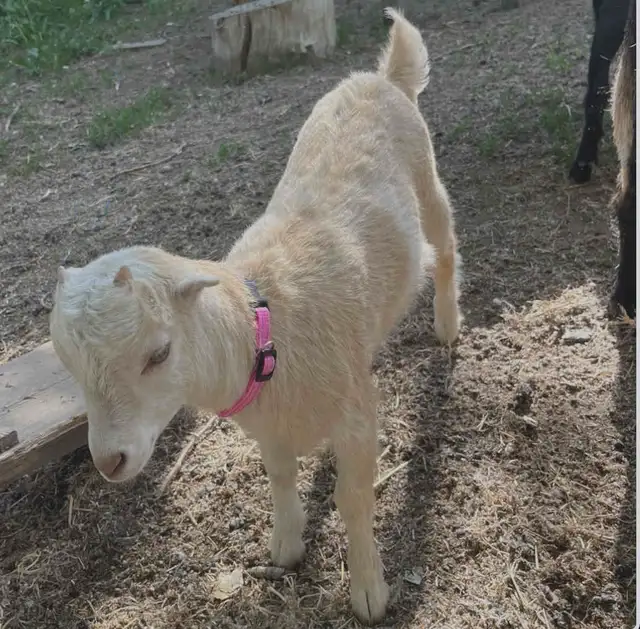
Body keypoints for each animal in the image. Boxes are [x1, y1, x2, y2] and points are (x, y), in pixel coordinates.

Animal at [49, 8, 461, 624]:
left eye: (159, 353)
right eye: (71, 371)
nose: (110, 460)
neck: (264, 332)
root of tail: (382, 75)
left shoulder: (356, 417)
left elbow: (353, 499)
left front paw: (368, 591)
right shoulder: (270, 427)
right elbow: (281, 475)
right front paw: (286, 546)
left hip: (426, 174)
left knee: (447, 246)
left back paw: (449, 324)